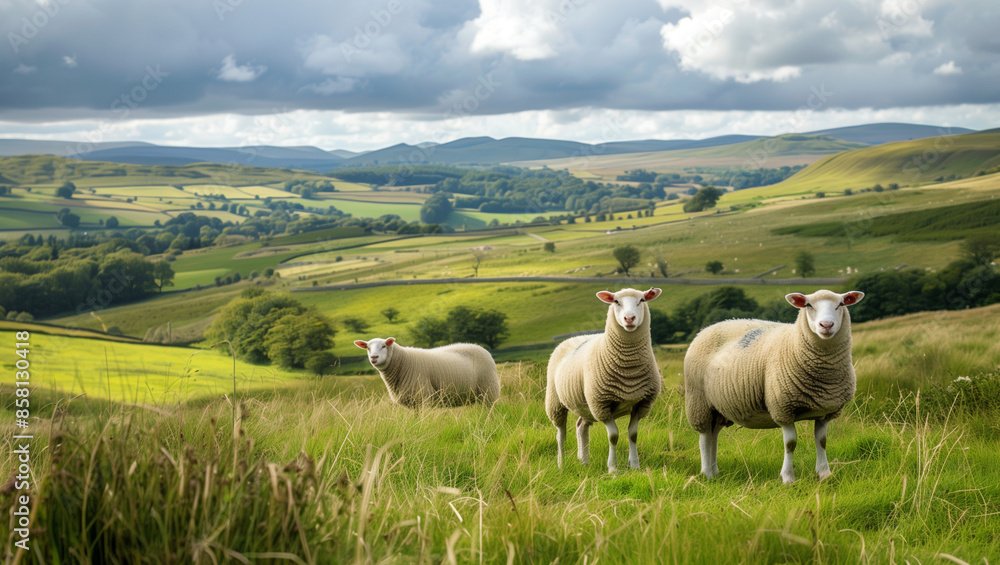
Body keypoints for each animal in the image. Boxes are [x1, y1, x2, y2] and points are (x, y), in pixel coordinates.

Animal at [353, 337, 500, 408]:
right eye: (368, 348)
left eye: (384, 346)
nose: (374, 357)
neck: (402, 361)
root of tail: (483, 349)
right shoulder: (413, 402)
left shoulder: (424, 397)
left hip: (488, 391)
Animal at [545, 288, 663, 473]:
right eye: (616, 302)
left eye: (642, 300)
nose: (629, 318)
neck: (629, 371)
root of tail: (571, 339)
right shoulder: (602, 405)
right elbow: (613, 436)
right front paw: (613, 468)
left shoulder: (641, 403)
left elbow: (633, 435)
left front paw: (635, 465)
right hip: (556, 402)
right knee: (560, 434)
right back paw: (561, 464)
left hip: (586, 405)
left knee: (581, 427)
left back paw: (584, 462)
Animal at [684, 289, 865, 484]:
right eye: (808, 305)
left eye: (841, 304)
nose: (826, 325)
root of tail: (707, 328)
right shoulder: (783, 408)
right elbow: (790, 443)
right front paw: (788, 478)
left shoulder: (825, 410)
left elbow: (822, 441)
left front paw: (824, 474)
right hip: (699, 402)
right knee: (704, 438)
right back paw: (707, 474)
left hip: (718, 408)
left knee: (713, 436)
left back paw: (714, 471)